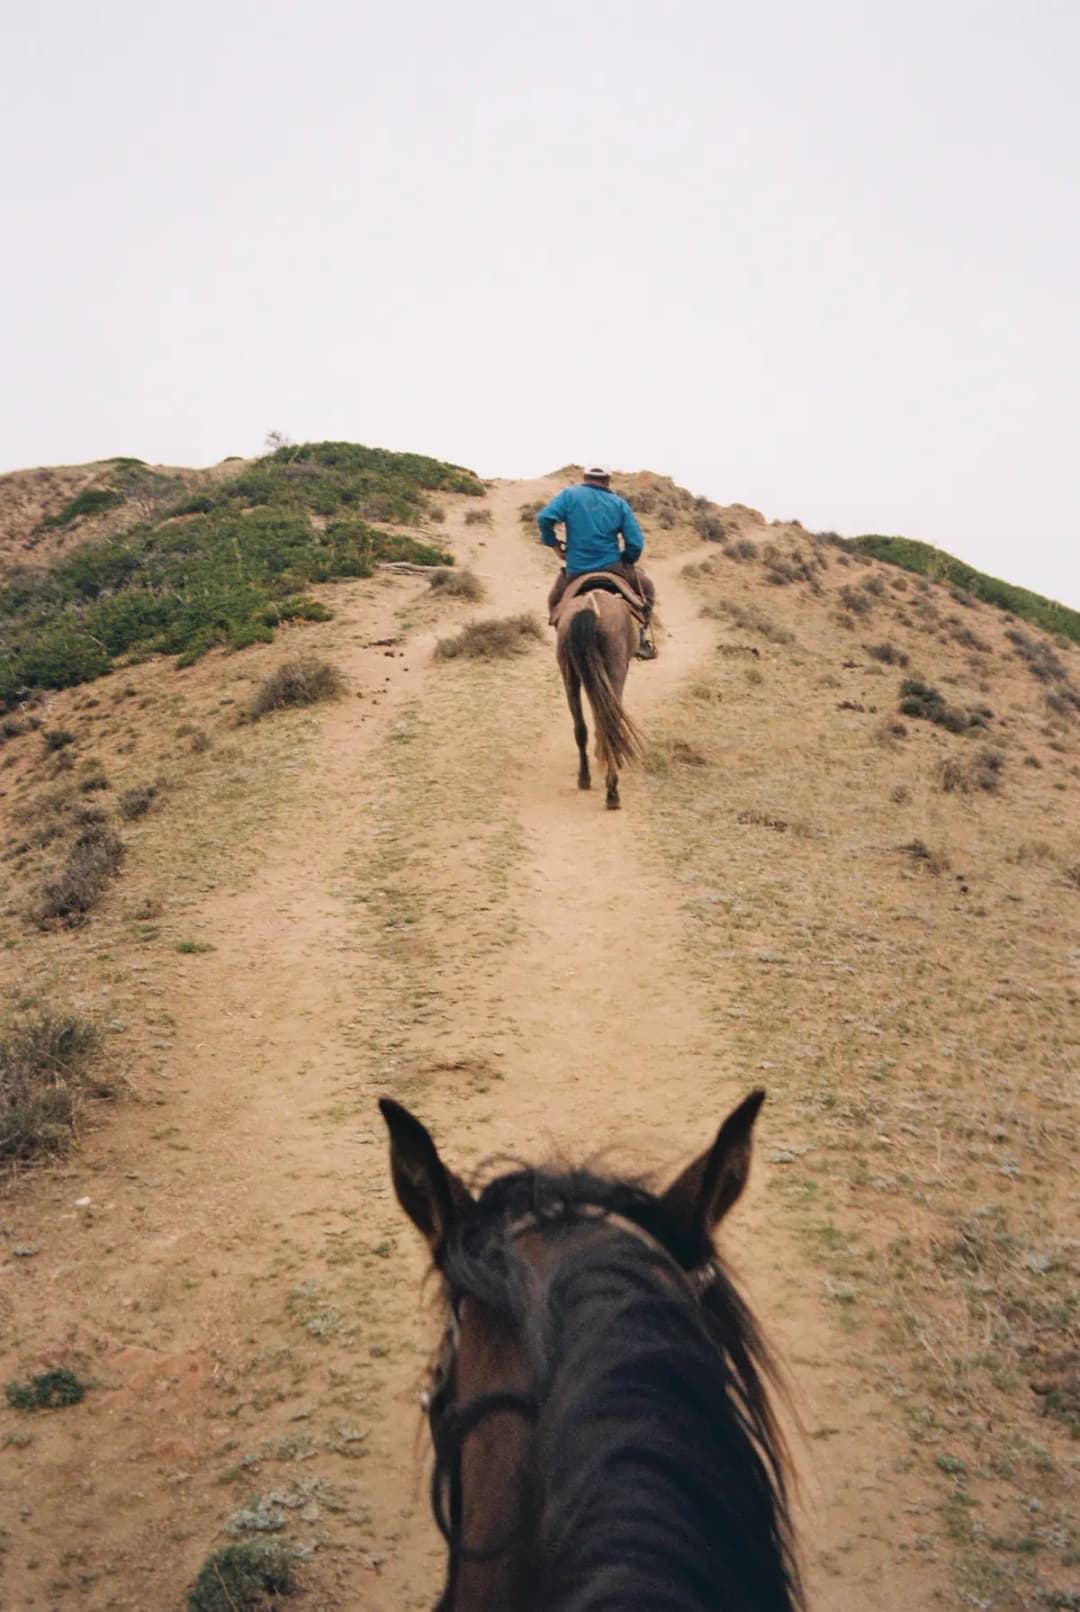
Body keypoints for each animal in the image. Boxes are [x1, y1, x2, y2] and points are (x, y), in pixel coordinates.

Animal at [556, 589, 643, 810]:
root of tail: (590, 606)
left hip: (571, 675)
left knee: (580, 728)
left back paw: (584, 778)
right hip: (614, 670)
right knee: (610, 722)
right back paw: (612, 792)